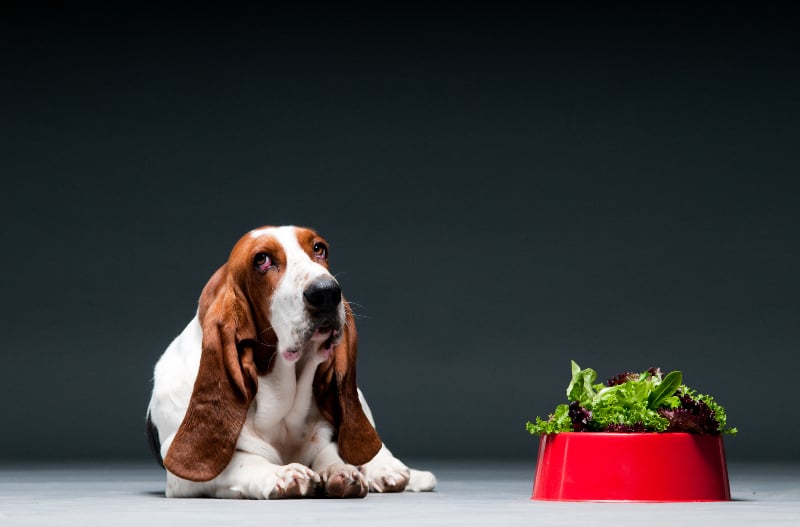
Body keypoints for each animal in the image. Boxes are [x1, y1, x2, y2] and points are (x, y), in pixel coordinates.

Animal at [148, 226, 438, 500]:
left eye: (319, 248)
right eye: (262, 259)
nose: (327, 292)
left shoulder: (326, 433)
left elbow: (330, 451)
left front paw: (340, 471)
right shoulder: (180, 477)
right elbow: (240, 461)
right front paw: (281, 474)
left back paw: (387, 469)